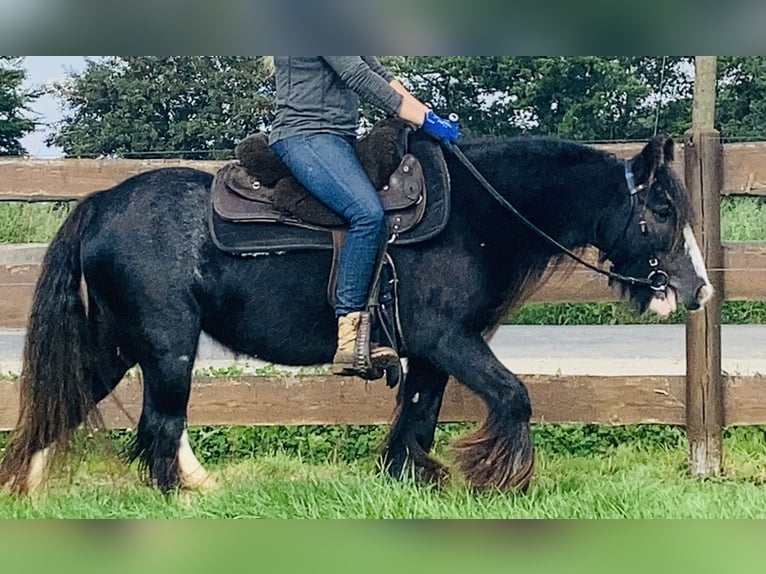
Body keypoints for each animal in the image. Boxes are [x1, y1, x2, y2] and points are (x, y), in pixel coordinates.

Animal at [0, 132, 712, 496]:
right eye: (663, 210)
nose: (698, 289)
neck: (476, 217)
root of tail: (100, 202)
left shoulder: (431, 352)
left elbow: (419, 414)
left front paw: (409, 479)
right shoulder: (448, 339)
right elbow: (513, 395)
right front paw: (498, 477)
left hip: (116, 348)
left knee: (66, 406)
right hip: (167, 347)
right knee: (159, 426)